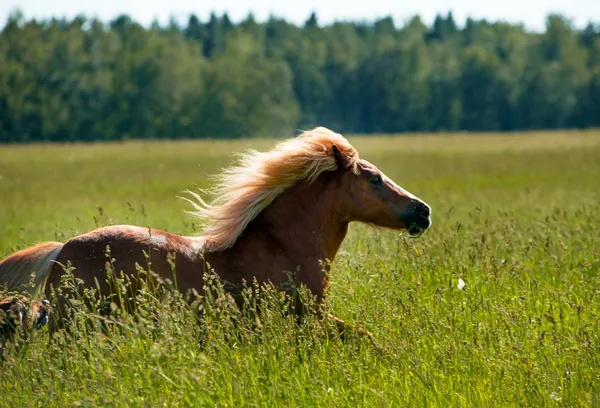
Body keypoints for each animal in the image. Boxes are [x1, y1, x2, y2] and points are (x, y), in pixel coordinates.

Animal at [0, 126, 432, 332]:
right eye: (373, 179)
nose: (423, 211)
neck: (283, 248)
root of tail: (62, 250)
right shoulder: (307, 321)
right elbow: (364, 339)